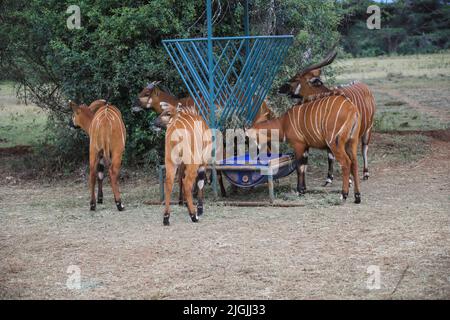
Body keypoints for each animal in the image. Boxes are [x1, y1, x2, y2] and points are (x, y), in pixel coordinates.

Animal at [280, 49, 374, 185]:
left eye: (296, 78)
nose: (280, 88)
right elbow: (330, 156)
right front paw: (329, 178)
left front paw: (349, 180)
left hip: (368, 128)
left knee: (364, 148)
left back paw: (366, 174)